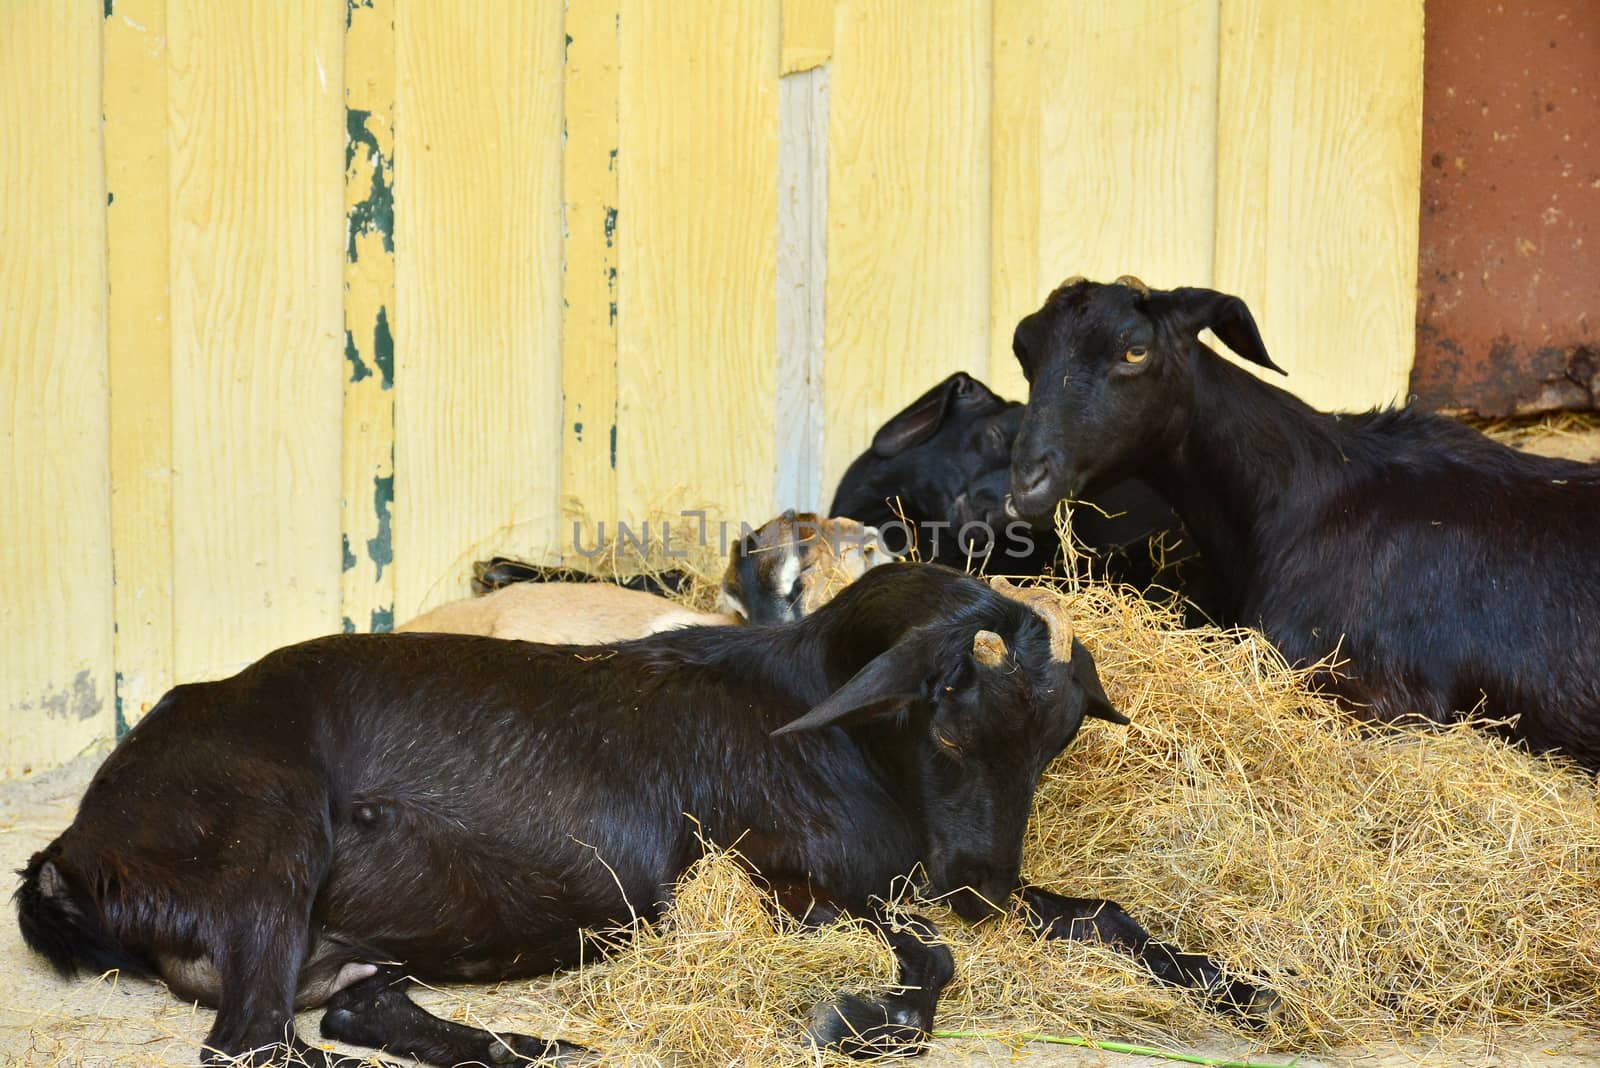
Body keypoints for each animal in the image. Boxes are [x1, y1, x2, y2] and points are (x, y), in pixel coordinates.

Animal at [12, 562, 1273, 1061]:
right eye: (952, 724)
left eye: (1059, 744)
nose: (984, 882)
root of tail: (76, 848)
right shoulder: (793, 886)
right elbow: (934, 969)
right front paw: (850, 1020)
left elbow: (1103, 913)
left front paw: (1245, 991)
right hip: (270, 844)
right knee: (255, 1043)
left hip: (350, 936)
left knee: (358, 1010)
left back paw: (548, 1048)